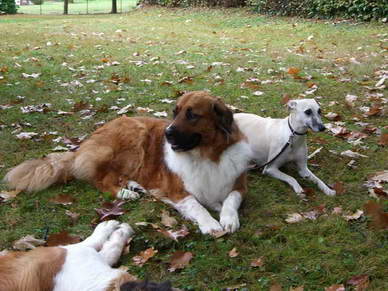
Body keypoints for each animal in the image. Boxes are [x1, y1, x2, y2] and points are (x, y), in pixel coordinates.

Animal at [5, 92, 252, 235]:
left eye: (192, 115)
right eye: (175, 112)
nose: (167, 133)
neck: (206, 155)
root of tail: (84, 144)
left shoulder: (240, 186)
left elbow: (230, 199)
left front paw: (227, 217)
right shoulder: (176, 191)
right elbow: (196, 205)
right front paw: (210, 223)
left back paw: (134, 185)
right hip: (135, 135)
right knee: (101, 179)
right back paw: (126, 193)